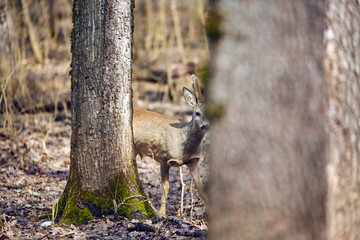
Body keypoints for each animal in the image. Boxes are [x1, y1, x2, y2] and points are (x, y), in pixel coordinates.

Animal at [133, 74, 208, 217]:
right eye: (197, 113)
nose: (205, 125)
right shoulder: (164, 156)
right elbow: (165, 186)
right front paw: (162, 213)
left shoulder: (193, 161)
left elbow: (201, 187)